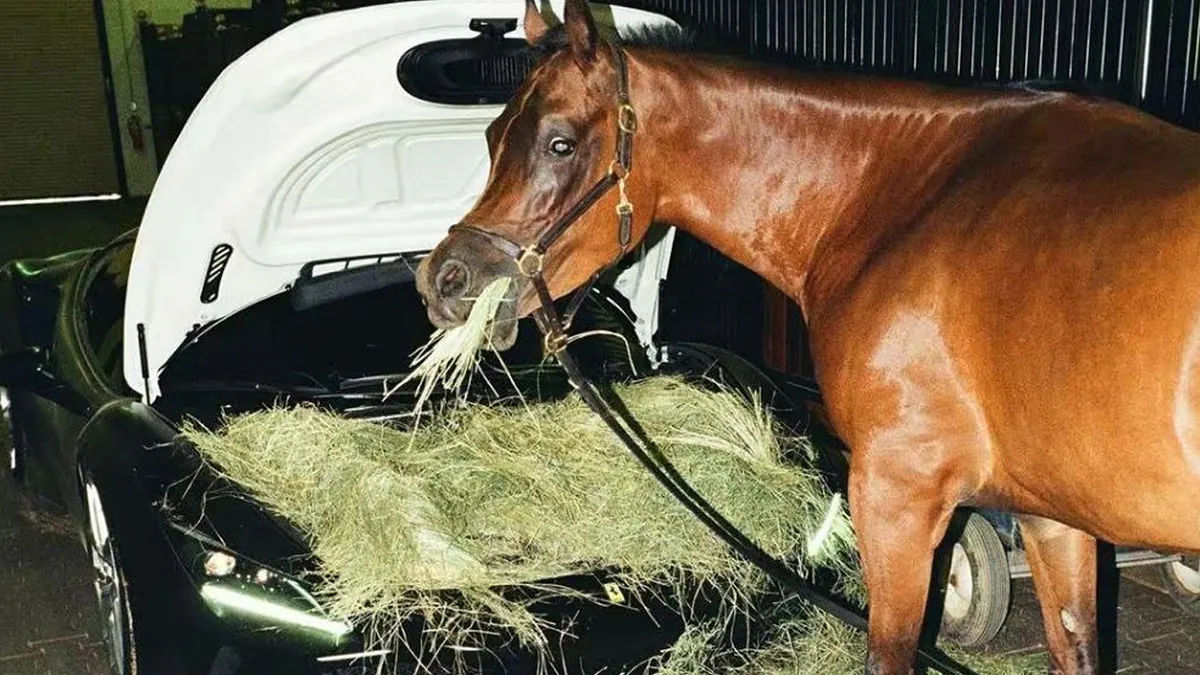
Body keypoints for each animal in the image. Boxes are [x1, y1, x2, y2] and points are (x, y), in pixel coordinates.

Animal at [414, 1, 1200, 673]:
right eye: (491, 136)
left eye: (560, 143)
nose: (443, 279)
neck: (904, 197)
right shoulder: (1052, 517)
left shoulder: (896, 496)